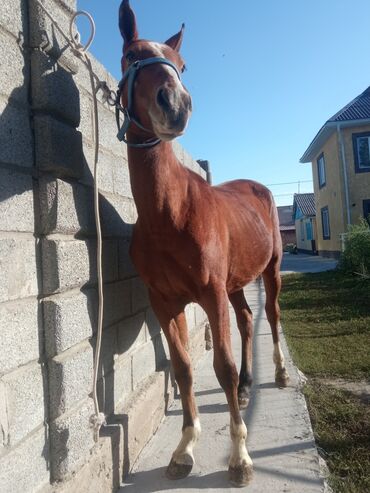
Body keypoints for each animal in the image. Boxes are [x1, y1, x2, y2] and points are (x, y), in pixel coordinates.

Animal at [118, 0, 290, 484]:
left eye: (181, 65)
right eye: (132, 55)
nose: (176, 104)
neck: (170, 214)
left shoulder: (211, 295)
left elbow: (223, 368)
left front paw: (240, 457)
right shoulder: (165, 303)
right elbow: (183, 369)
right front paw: (184, 449)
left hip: (269, 271)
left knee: (271, 315)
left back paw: (279, 374)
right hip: (235, 284)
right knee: (248, 319)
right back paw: (251, 384)